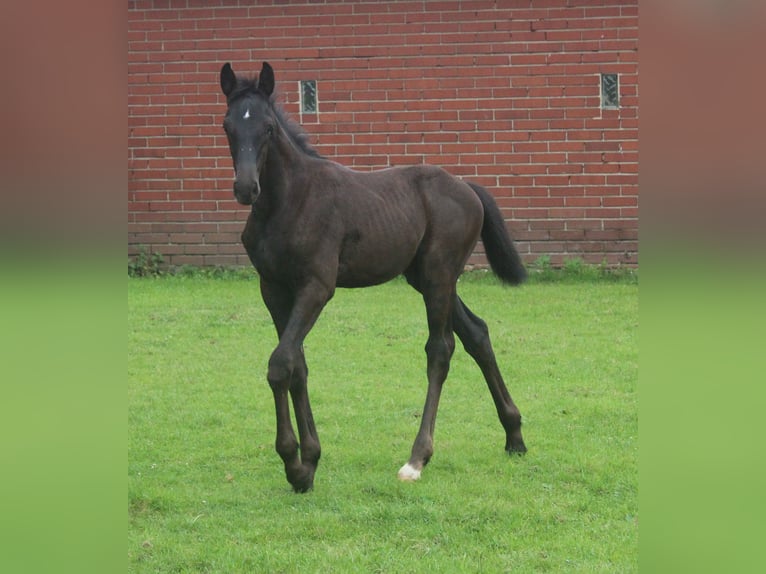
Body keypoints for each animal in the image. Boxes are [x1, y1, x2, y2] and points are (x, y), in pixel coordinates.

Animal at [219, 63, 524, 496]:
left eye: (268, 127)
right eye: (228, 125)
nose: (246, 187)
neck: (288, 201)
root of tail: (468, 187)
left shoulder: (317, 287)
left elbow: (281, 363)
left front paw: (294, 464)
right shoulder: (274, 290)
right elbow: (297, 364)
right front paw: (309, 463)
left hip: (438, 274)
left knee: (441, 349)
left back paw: (417, 459)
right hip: (427, 278)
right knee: (477, 334)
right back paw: (514, 436)